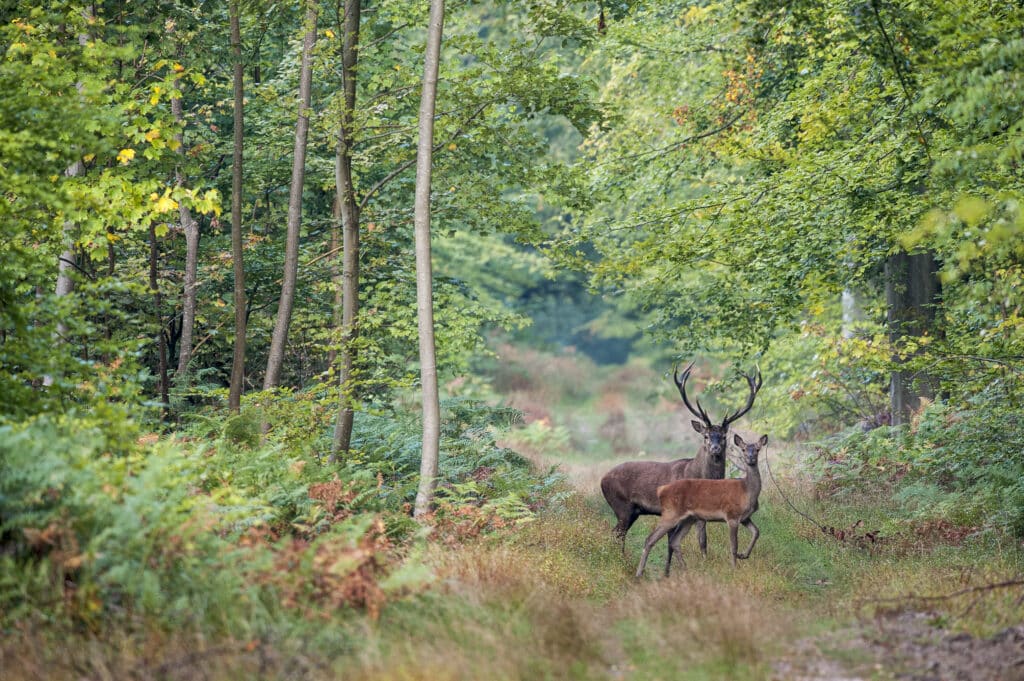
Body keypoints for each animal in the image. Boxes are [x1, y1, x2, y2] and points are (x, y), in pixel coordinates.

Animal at [600, 362, 762, 557]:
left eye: (723, 436)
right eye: (706, 436)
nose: (715, 448)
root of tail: (602, 480)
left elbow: (697, 540)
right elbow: (698, 540)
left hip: (632, 512)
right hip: (622, 506)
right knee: (617, 534)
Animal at [635, 433, 767, 578]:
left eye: (757, 449)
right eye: (743, 449)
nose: (751, 458)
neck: (746, 491)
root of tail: (661, 490)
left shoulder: (744, 517)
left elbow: (756, 532)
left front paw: (743, 555)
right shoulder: (732, 515)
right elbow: (734, 545)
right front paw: (734, 568)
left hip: (689, 518)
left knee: (674, 540)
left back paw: (686, 569)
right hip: (671, 513)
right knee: (650, 539)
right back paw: (639, 573)